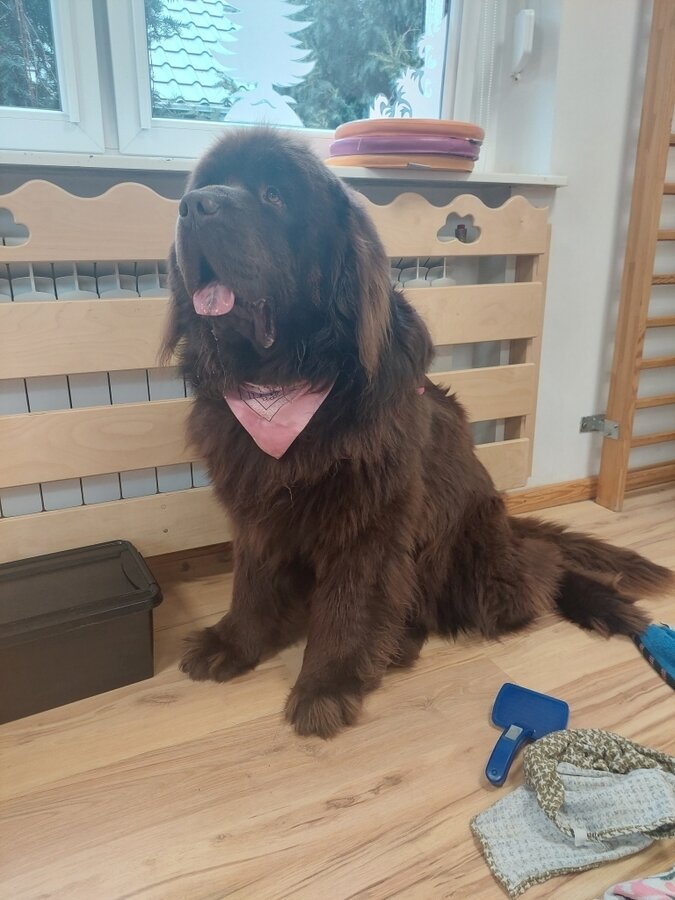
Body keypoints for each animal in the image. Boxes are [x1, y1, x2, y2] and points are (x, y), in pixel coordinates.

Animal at [164, 127, 673, 738]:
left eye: (274, 196)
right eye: (207, 184)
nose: (194, 206)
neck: (283, 380)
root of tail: (505, 524)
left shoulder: (368, 522)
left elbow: (348, 606)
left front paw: (326, 686)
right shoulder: (257, 510)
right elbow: (253, 584)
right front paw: (234, 643)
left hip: (478, 566)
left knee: (540, 569)